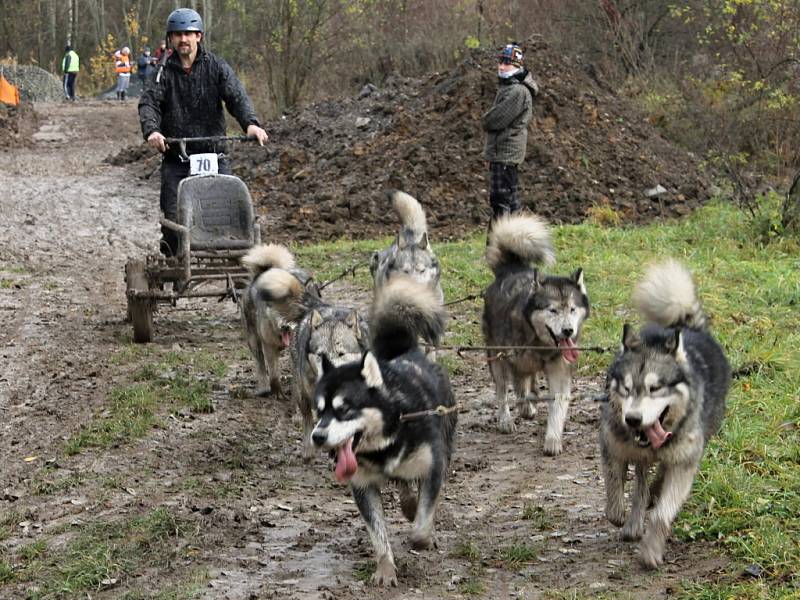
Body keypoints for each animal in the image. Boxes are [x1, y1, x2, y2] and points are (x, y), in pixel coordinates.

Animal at [310, 276, 456, 584]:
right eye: (319, 411)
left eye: (344, 410)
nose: (317, 437)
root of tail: (402, 349)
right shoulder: (363, 486)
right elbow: (378, 534)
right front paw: (385, 569)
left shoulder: (434, 466)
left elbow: (421, 527)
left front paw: (423, 537)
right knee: (404, 484)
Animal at [600, 260, 732, 568]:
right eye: (626, 388)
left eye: (655, 388)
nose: (633, 419)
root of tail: (684, 325)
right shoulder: (612, 443)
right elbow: (615, 485)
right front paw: (619, 514)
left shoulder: (684, 463)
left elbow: (662, 512)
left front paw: (651, 551)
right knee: (640, 484)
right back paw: (634, 520)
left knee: (652, 484)